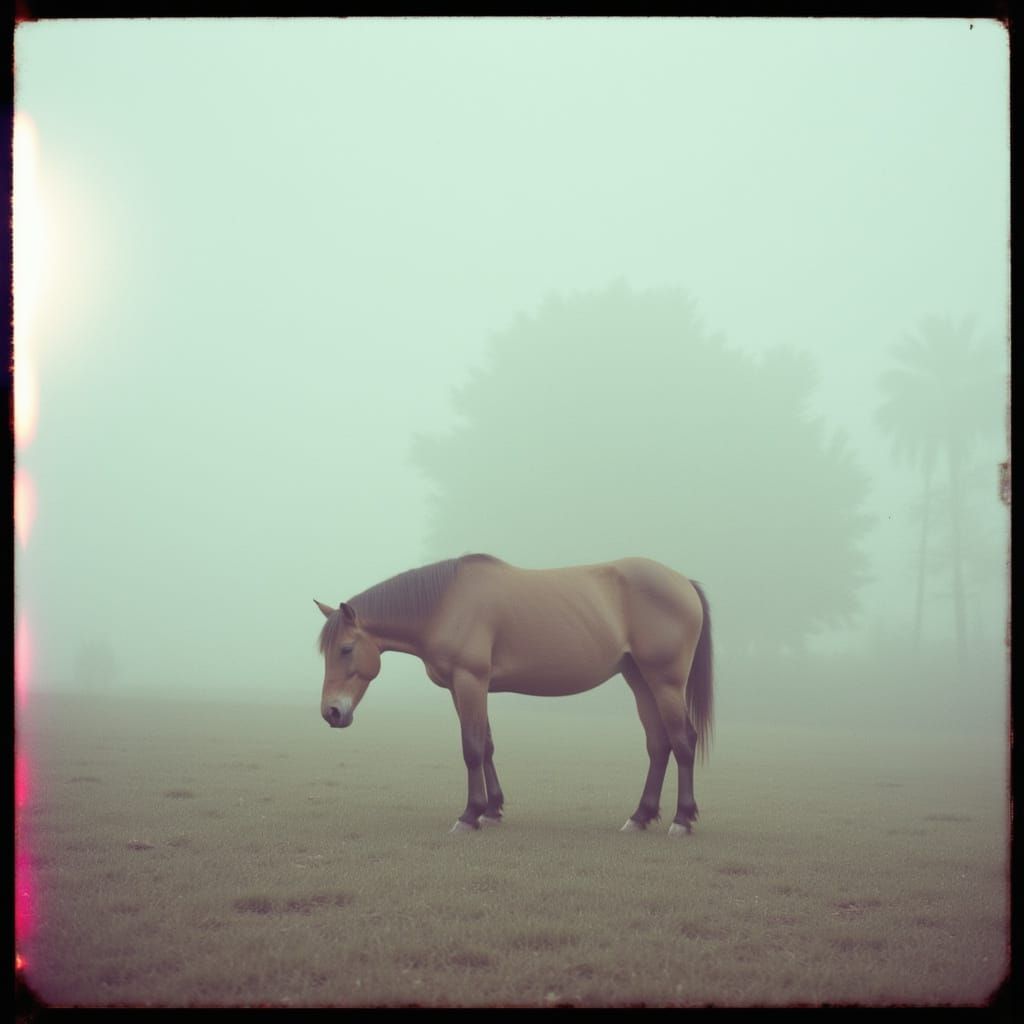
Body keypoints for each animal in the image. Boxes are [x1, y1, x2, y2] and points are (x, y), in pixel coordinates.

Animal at [315, 554, 713, 836]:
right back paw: (640, 816)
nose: (331, 712)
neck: (447, 604)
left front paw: (469, 815)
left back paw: (681, 819)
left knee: (682, 742)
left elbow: (472, 748)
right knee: (659, 745)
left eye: (346, 649)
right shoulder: (465, 688)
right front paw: (492, 811)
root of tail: (683, 582)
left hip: (665, 682)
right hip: (640, 680)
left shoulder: (470, 681)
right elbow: (487, 746)